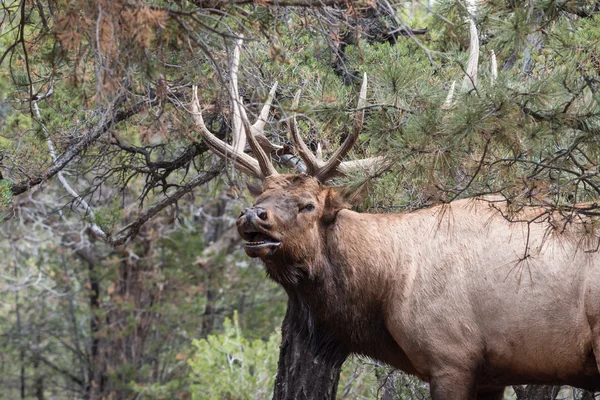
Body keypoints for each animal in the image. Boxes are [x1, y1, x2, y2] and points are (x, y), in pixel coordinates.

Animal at [189, 37, 600, 400]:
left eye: (308, 204)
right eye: (259, 195)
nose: (252, 216)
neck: (388, 285)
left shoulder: (451, 356)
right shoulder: (492, 374)